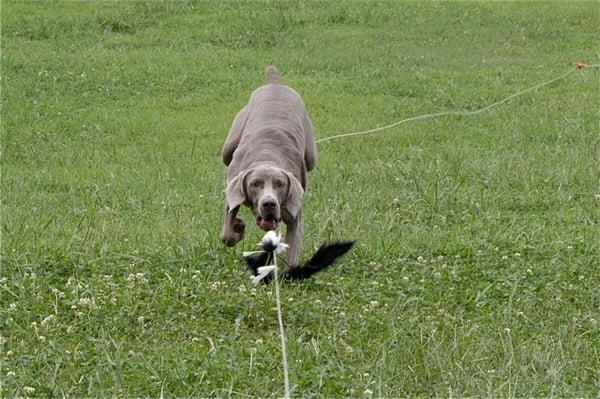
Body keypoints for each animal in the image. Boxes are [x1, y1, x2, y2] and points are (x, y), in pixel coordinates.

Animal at [221, 65, 316, 268]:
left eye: (281, 184)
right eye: (254, 184)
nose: (269, 203)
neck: (267, 157)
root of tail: (275, 84)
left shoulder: (294, 216)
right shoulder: (232, 191)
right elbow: (226, 233)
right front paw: (238, 227)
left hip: (312, 156)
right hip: (228, 146)